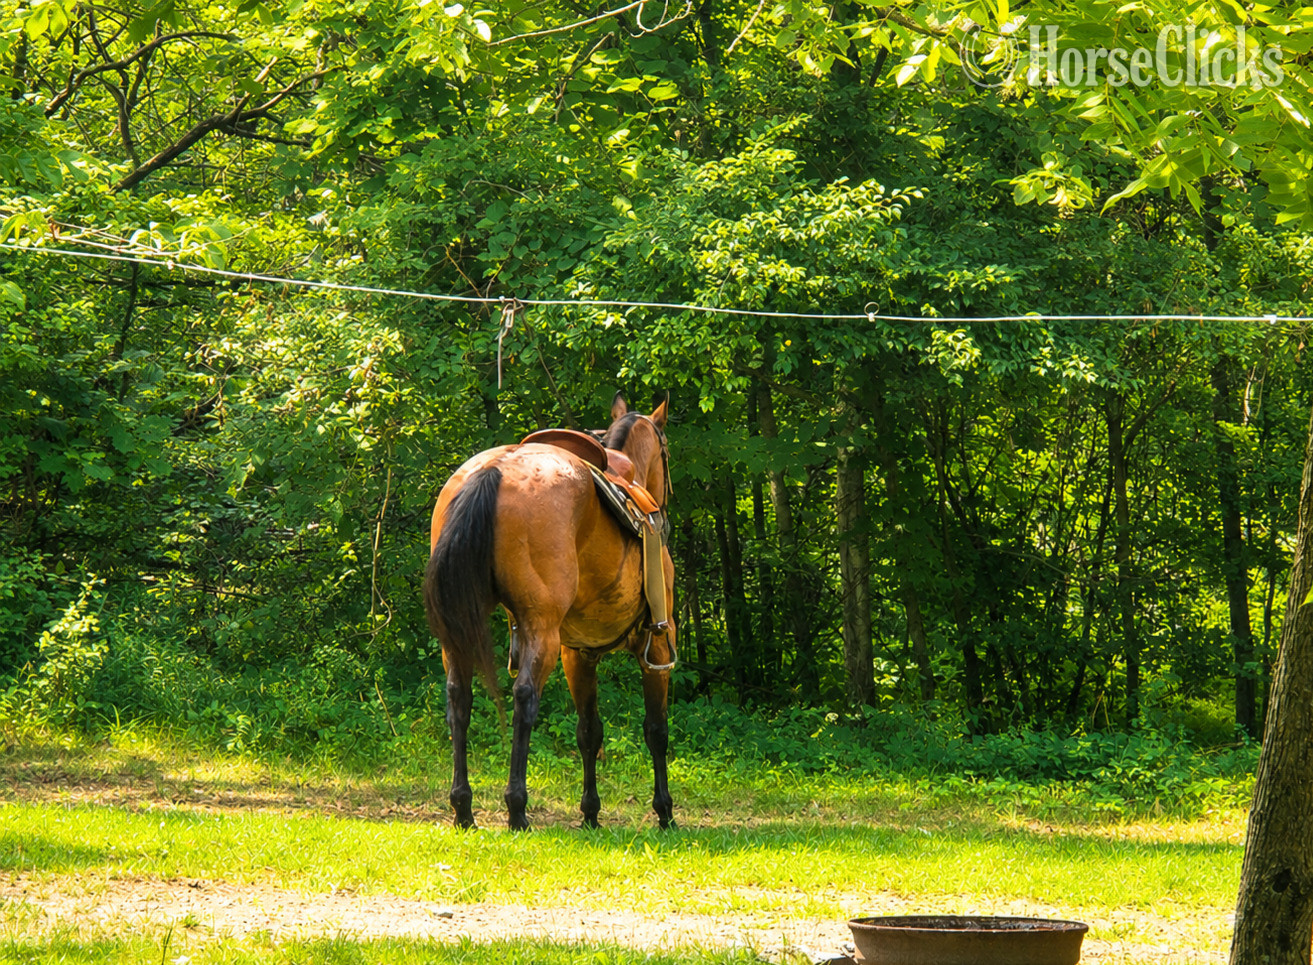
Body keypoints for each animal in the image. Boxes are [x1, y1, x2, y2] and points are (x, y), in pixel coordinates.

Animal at [422, 394, 677, 831]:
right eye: (666, 450)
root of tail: (495, 468)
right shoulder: (657, 645)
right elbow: (655, 730)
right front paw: (664, 811)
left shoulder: (578, 654)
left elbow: (589, 731)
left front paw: (590, 814)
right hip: (541, 630)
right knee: (524, 697)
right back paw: (517, 809)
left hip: (458, 632)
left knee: (459, 698)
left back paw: (463, 809)